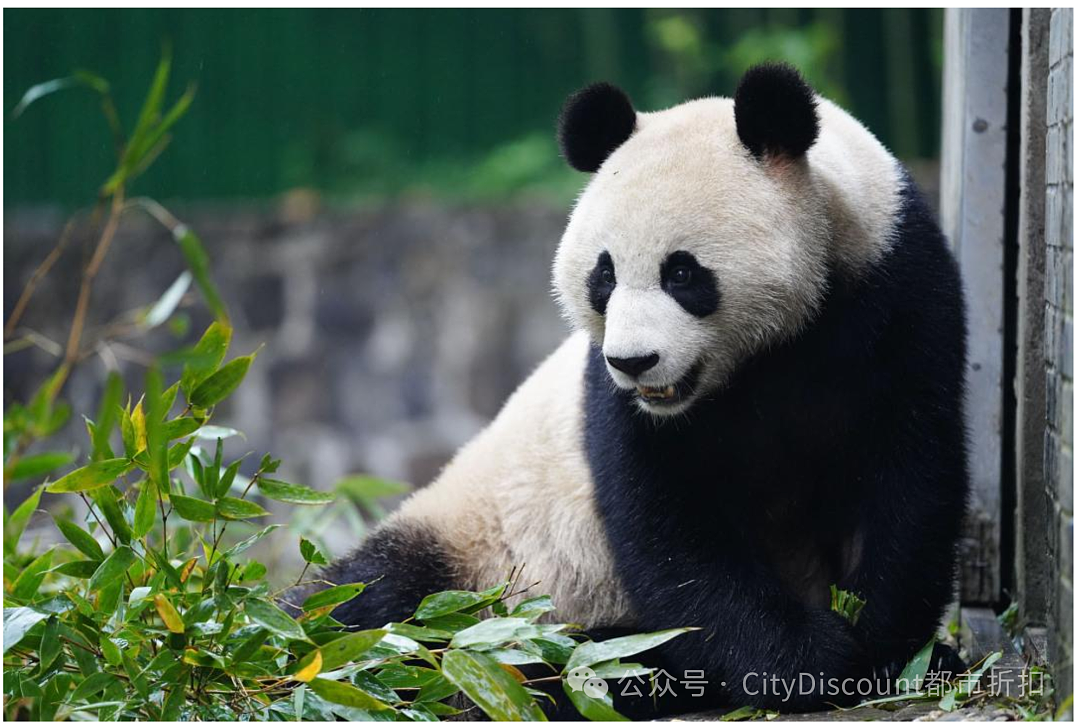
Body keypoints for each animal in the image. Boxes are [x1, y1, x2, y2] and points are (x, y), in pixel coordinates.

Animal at [319, 63, 972, 712]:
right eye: (604, 275)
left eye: (681, 272)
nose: (634, 362)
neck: (769, 353)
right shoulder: (614, 403)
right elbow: (667, 527)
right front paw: (808, 658)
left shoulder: (896, 300)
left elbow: (908, 476)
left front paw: (890, 650)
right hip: (476, 543)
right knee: (372, 601)